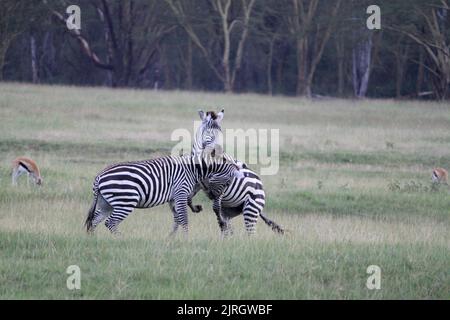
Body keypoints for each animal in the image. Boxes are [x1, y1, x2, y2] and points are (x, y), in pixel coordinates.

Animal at [85, 152, 244, 235]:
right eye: (228, 183)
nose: (214, 198)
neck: (193, 169)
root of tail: (99, 176)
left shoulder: (173, 199)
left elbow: (177, 219)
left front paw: (171, 239)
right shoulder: (180, 192)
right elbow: (184, 218)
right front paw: (186, 239)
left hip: (106, 203)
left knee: (94, 221)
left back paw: (93, 240)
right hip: (125, 202)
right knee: (110, 222)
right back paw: (121, 239)